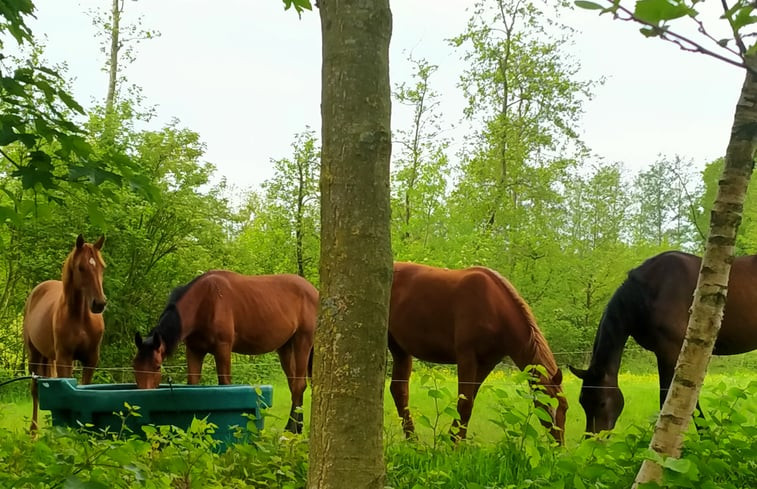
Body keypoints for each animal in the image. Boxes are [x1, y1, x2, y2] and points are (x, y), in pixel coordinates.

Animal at [22, 235, 105, 430]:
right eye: (81, 267)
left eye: (102, 266)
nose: (99, 303)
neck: (81, 318)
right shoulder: (64, 359)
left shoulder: (91, 359)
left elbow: (84, 389)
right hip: (34, 355)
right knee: (35, 390)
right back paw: (34, 431)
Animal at [133, 268, 316, 432]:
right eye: (134, 366)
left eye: (157, 366)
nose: (142, 396)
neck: (204, 302)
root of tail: (314, 291)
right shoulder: (194, 350)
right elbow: (192, 384)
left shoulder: (223, 348)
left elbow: (225, 384)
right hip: (285, 347)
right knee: (294, 385)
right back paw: (296, 427)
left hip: (303, 340)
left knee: (299, 385)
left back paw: (292, 429)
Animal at [386, 264, 564, 442]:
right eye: (549, 405)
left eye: (565, 408)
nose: (559, 444)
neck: (494, 306)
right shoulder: (467, 357)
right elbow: (465, 403)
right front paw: (454, 443)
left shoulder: (487, 363)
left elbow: (470, 401)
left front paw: (455, 439)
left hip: (400, 350)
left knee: (399, 390)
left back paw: (412, 440)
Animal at [568, 252, 756, 434]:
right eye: (582, 402)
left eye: (602, 403)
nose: (592, 438)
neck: (648, 293)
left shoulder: (672, 351)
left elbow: (672, 400)